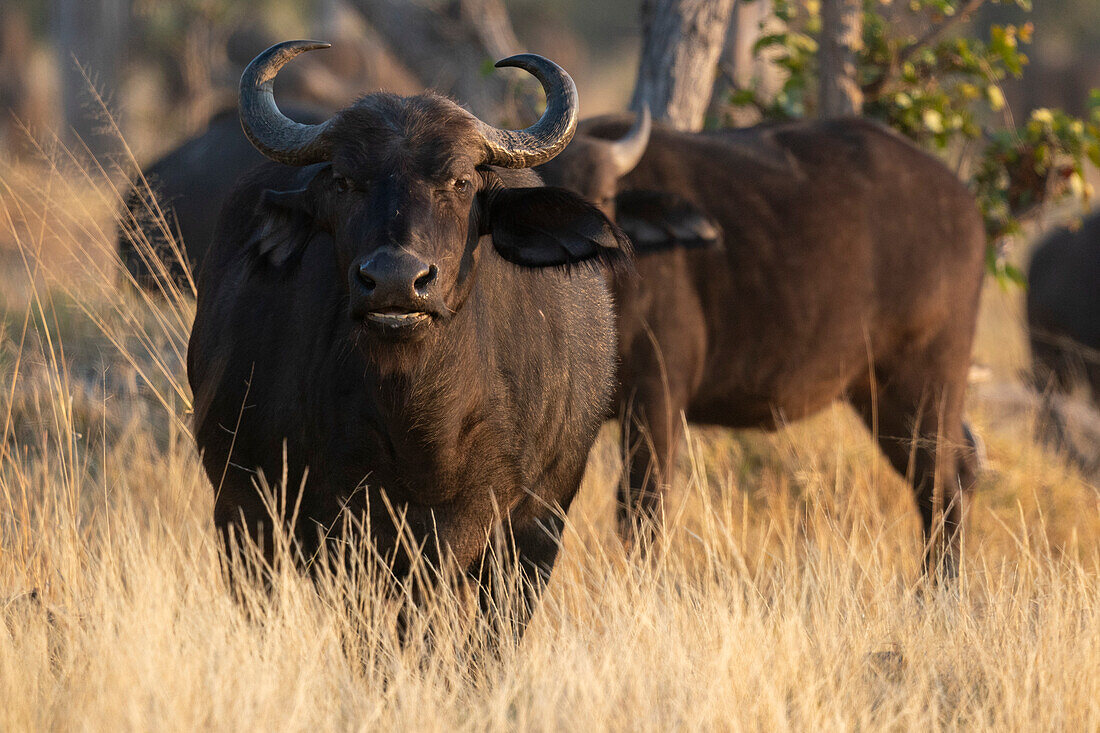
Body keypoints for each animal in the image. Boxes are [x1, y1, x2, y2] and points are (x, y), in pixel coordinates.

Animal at [536, 112, 985, 572]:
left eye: (605, 196)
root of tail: (963, 203)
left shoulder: (656, 399)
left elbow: (641, 507)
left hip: (927, 383)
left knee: (940, 485)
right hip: (877, 394)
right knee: (959, 468)